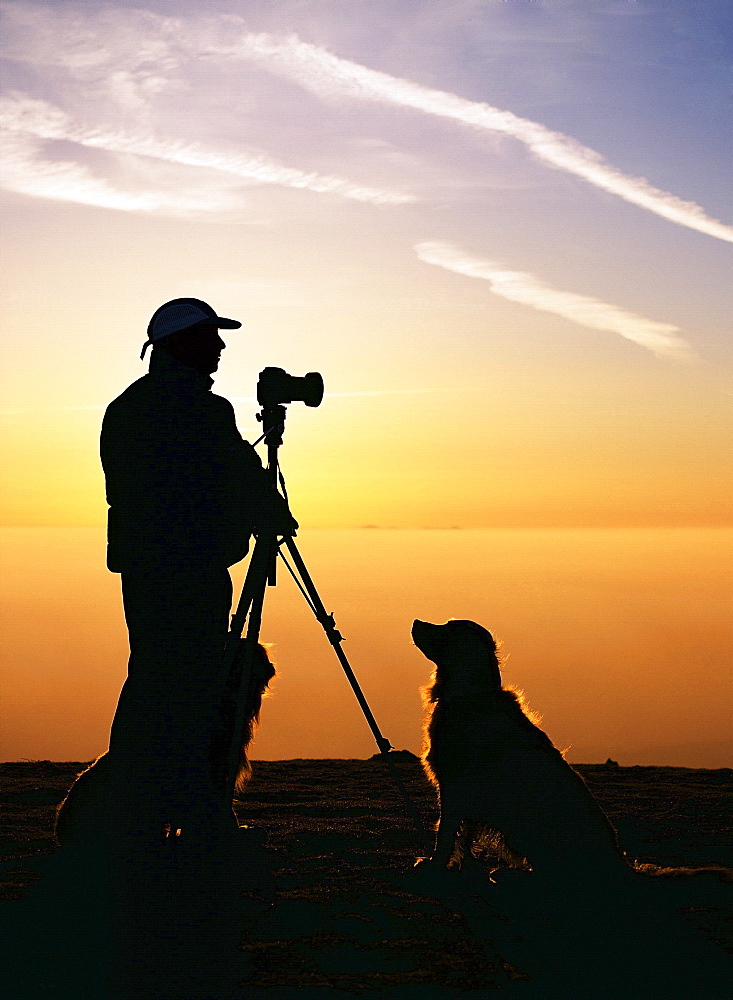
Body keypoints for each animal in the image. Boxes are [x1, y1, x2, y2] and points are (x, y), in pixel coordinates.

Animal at [414, 616, 628, 884]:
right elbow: (464, 836)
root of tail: (619, 863)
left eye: (447, 628)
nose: (415, 621)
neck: (470, 694)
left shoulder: (454, 785)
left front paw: (434, 867)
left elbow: (445, 834)